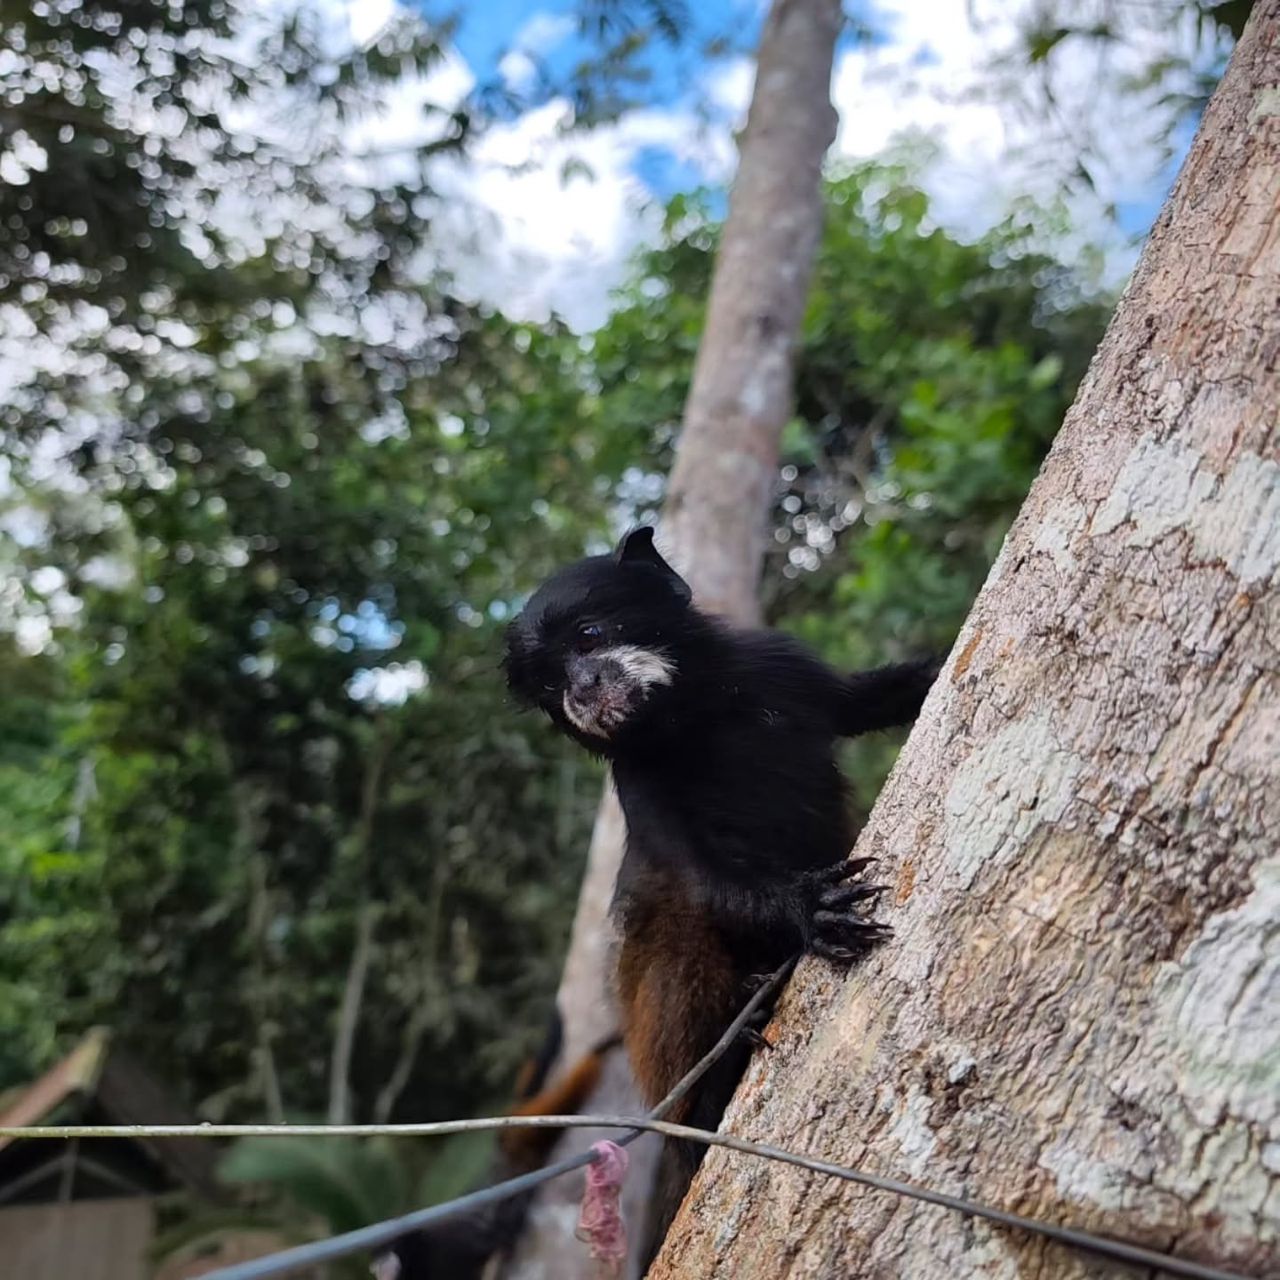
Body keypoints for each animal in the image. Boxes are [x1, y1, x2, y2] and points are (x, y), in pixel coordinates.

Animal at [503, 527, 938, 1265]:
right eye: (551, 683)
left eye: (589, 638)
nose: (581, 691)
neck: (693, 715)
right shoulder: (641, 784)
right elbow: (706, 887)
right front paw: (807, 912)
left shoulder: (782, 669)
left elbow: (872, 701)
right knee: (676, 940)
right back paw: (718, 1080)